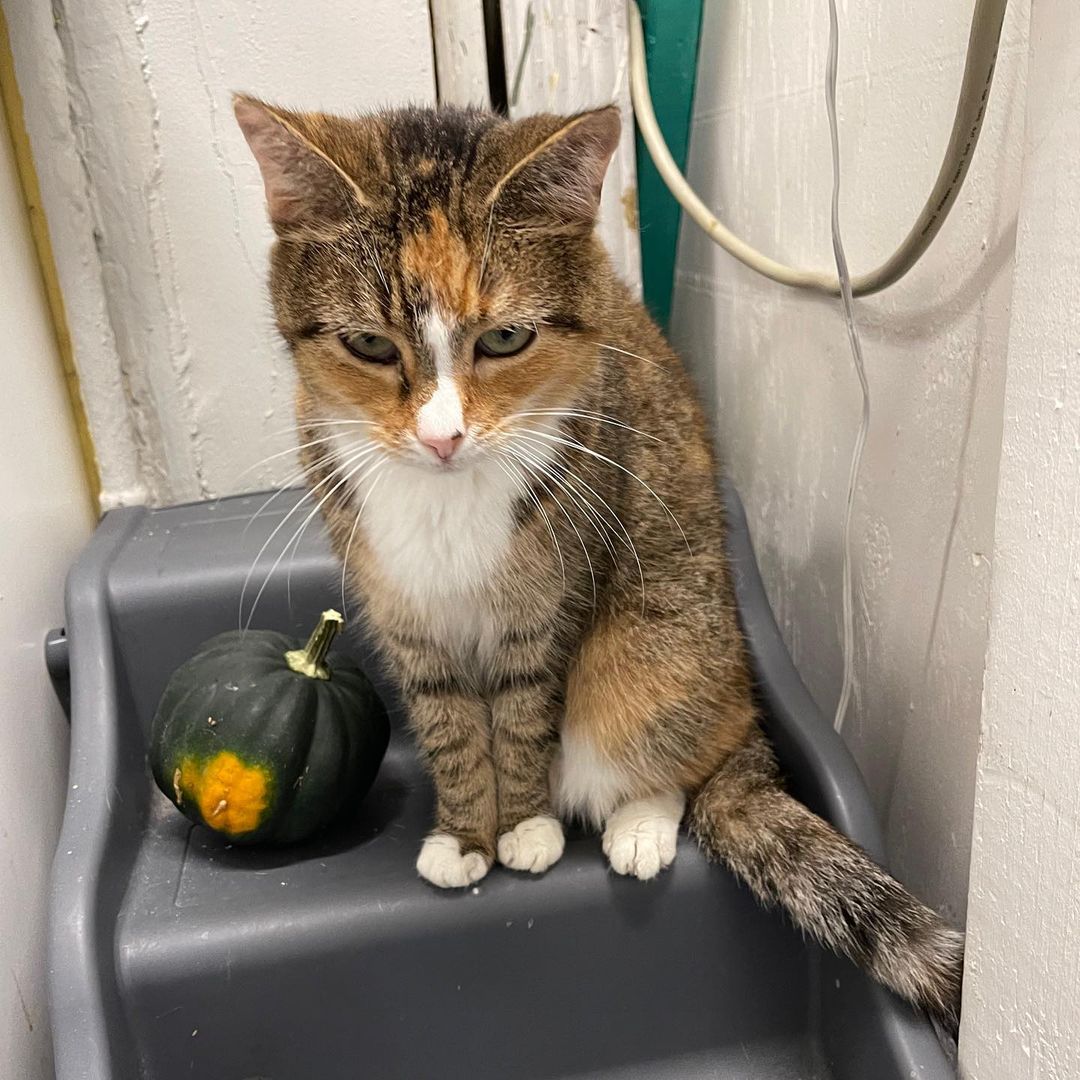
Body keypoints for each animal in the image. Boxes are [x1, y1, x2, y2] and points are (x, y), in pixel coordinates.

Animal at [236, 97, 963, 1023]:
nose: (442, 438)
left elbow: (523, 718)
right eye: (368, 345)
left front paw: (524, 827)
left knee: (672, 749)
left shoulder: (550, 606)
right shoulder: (407, 618)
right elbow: (449, 726)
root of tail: (746, 702)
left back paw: (639, 827)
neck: (446, 499)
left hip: (656, 649)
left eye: (507, 337)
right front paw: (466, 835)